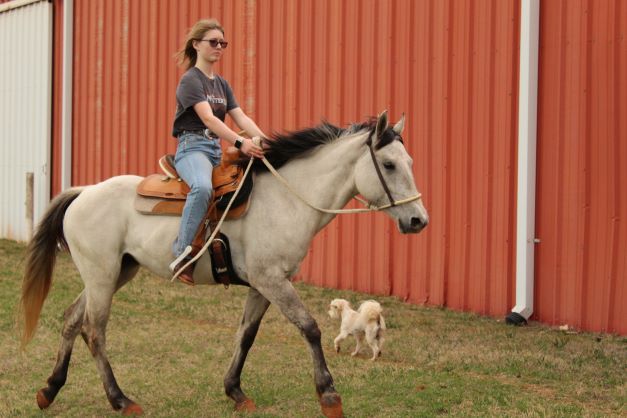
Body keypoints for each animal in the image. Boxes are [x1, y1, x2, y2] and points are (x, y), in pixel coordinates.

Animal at [20, 112, 432, 418]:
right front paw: (329, 394)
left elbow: (246, 335)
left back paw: (49, 389)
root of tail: (84, 192)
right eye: (389, 164)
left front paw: (235, 391)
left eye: (411, 162)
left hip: (113, 273)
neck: (285, 198)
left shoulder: (265, 284)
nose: (418, 220)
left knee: (72, 320)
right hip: (103, 276)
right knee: (94, 330)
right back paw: (120, 399)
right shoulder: (272, 280)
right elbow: (310, 328)